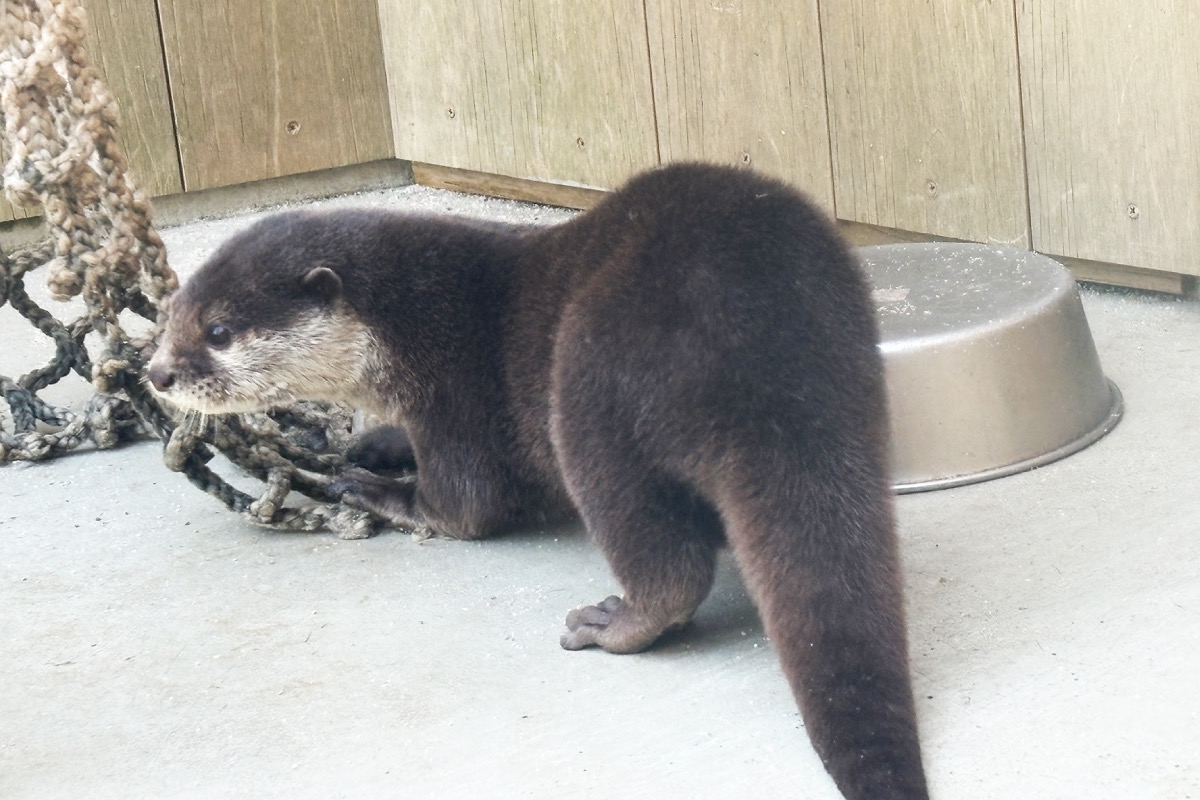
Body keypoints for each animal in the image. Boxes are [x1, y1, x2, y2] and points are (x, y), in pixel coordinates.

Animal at [147, 164, 926, 800]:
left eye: (218, 331)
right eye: (172, 315)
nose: (157, 373)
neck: (404, 319)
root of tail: (765, 344)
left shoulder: (454, 394)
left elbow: (467, 507)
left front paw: (372, 487)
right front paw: (374, 441)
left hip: (589, 387)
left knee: (663, 556)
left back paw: (615, 624)